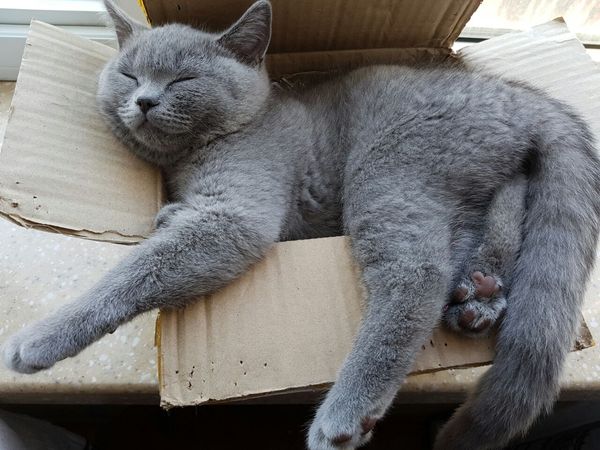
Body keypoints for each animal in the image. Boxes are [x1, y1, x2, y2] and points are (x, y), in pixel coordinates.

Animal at [3, 1, 600, 449]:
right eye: (129, 73)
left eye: (183, 78)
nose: (144, 99)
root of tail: (516, 93)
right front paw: (168, 211)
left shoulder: (236, 215)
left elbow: (135, 272)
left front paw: (37, 341)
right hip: (461, 178)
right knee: (509, 196)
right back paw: (481, 292)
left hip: (389, 170)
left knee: (416, 275)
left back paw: (345, 413)